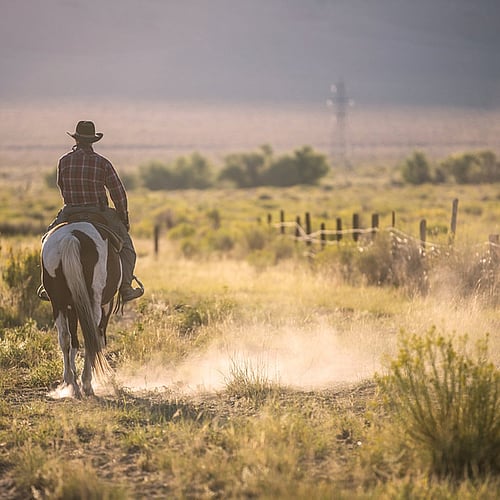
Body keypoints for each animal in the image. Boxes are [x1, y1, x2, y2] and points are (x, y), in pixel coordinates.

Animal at [40, 220, 122, 398]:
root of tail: (71, 237)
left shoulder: (72, 307)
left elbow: (73, 340)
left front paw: (73, 377)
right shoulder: (106, 305)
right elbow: (97, 337)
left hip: (57, 303)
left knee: (64, 337)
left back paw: (71, 382)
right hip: (94, 302)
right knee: (90, 335)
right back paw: (86, 383)